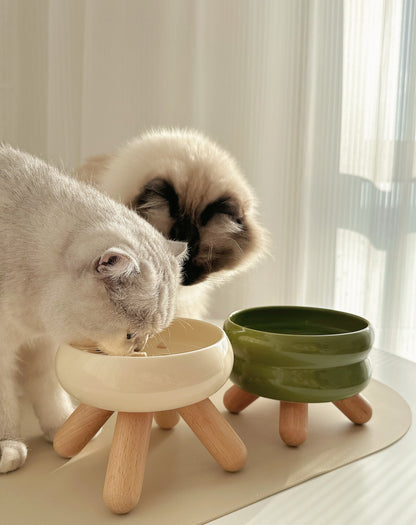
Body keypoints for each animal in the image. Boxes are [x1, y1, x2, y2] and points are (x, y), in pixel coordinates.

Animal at [0, 145, 185, 472]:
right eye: (130, 335)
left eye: (150, 335)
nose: (139, 349)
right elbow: (5, 405)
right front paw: (7, 446)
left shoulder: (42, 346)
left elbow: (49, 393)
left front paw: (61, 427)